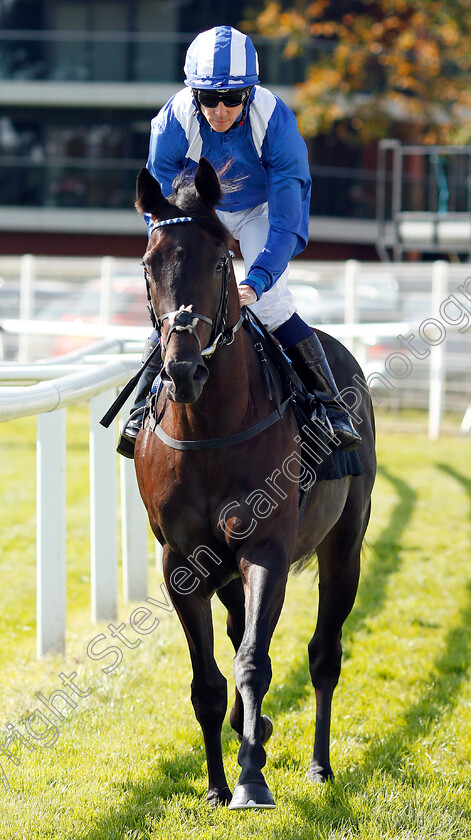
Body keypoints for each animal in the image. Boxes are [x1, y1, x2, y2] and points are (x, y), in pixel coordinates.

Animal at [133, 158, 376, 808]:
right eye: (149, 263)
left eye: (221, 262)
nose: (183, 368)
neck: (211, 428)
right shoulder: (182, 564)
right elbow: (207, 682)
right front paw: (217, 786)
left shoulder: (266, 549)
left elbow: (252, 664)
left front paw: (250, 781)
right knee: (241, 627)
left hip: (345, 545)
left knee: (324, 654)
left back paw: (318, 765)